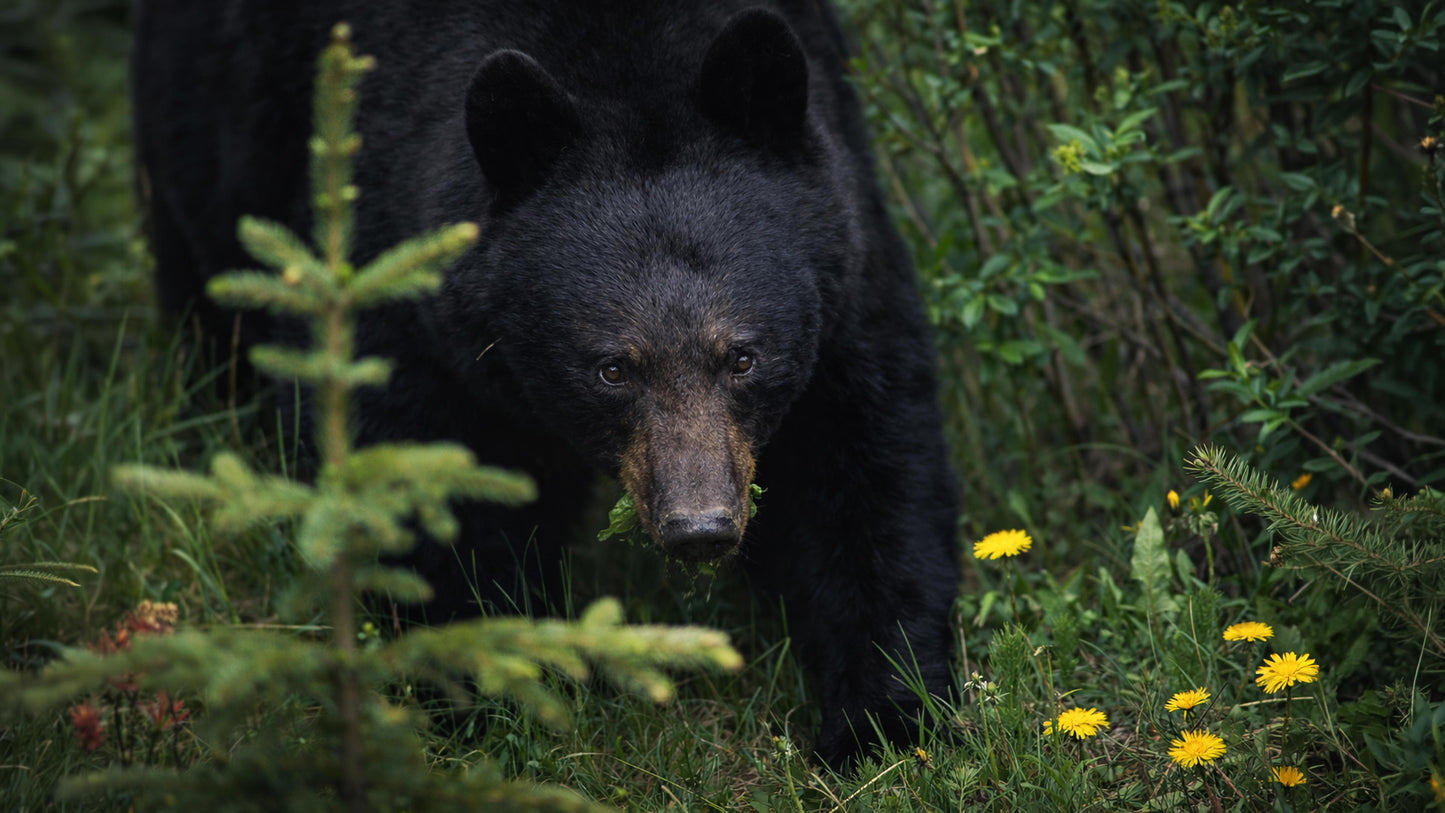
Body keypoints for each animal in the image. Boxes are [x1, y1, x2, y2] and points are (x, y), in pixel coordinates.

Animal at [131, 0, 960, 767]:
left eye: (742, 356)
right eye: (612, 366)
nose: (699, 526)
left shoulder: (842, 270)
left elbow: (862, 473)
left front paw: (886, 721)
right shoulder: (396, 263)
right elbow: (421, 480)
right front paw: (472, 694)